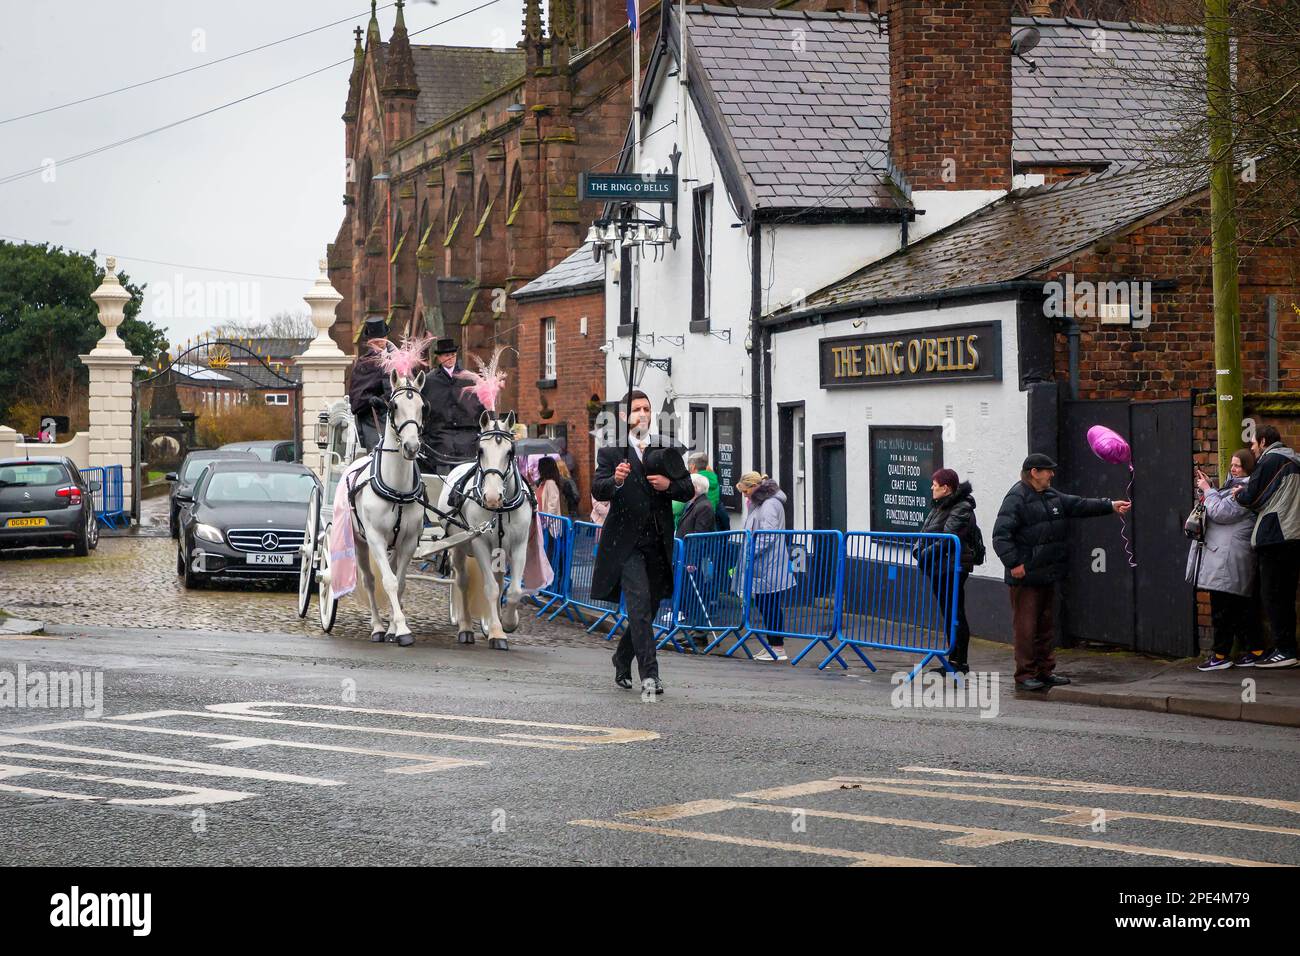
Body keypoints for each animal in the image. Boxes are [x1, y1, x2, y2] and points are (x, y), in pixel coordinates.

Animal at [351, 369, 426, 647]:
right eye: (393, 406)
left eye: (422, 407)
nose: (412, 447)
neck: (397, 489)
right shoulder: (375, 539)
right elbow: (389, 582)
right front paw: (401, 628)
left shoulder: (409, 541)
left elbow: (400, 582)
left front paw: (398, 626)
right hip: (359, 542)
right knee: (370, 581)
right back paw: (376, 626)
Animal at [441, 411, 533, 650]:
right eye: (481, 450)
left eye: (510, 452)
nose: (492, 497)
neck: (499, 510)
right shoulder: (480, 544)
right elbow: (490, 588)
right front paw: (497, 633)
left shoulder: (519, 546)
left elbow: (513, 591)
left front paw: (507, 623)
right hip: (457, 546)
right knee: (462, 581)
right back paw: (465, 627)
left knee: (499, 580)